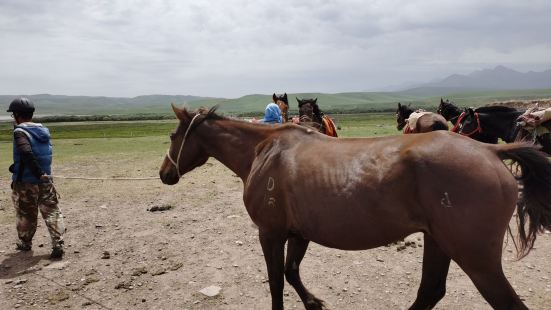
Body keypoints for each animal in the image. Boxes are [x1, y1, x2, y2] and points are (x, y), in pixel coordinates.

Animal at [158, 104, 551, 310]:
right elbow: (291, 272)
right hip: (440, 242)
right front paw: (313, 302)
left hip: (476, 259)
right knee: (430, 291)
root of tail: (491, 151)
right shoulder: (298, 233)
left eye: (173, 136)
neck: (264, 152)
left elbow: (276, 282)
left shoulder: (270, 233)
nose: (164, 174)